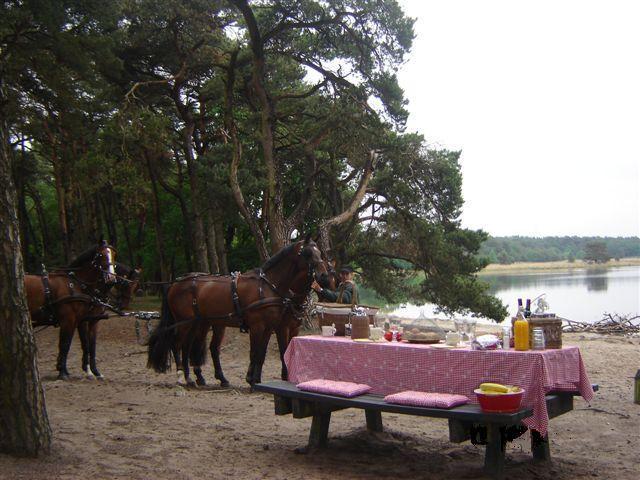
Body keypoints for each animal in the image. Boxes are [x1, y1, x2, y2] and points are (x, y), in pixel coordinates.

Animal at [25, 242, 117, 380]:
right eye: (101, 255)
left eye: (114, 255)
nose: (111, 278)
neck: (76, 285)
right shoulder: (69, 320)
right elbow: (65, 344)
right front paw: (63, 372)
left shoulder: (87, 320)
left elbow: (90, 345)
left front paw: (94, 371)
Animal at [148, 236, 328, 386]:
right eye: (307, 253)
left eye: (319, 252)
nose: (324, 276)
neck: (269, 286)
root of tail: (176, 282)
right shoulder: (261, 326)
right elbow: (256, 352)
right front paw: (251, 379)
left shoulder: (270, 327)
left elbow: (262, 353)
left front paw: (257, 379)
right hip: (185, 322)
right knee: (177, 344)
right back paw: (182, 377)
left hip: (202, 323)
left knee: (193, 347)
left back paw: (205, 378)